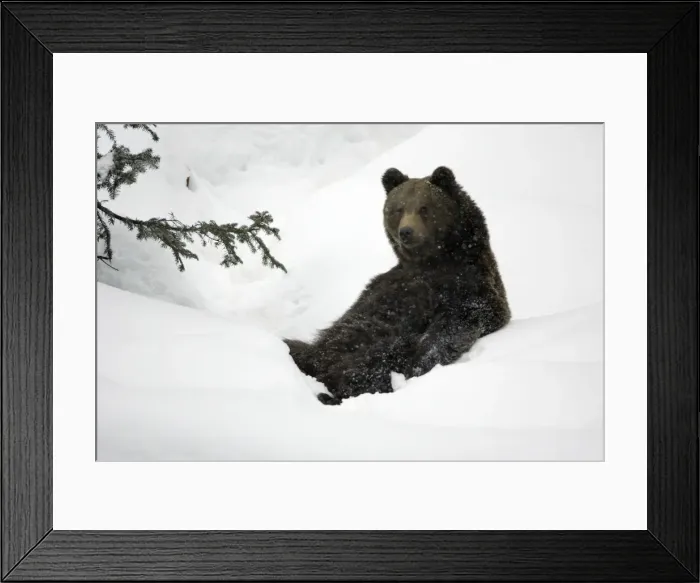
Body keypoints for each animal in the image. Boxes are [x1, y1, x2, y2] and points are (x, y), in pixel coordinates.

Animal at [284, 165, 511, 406]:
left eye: (424, 207)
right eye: (398, 209)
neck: (433, 262)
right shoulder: (383, 290)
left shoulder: (470, 286)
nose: (406, 232)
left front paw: (421, 360)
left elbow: (455, 324)